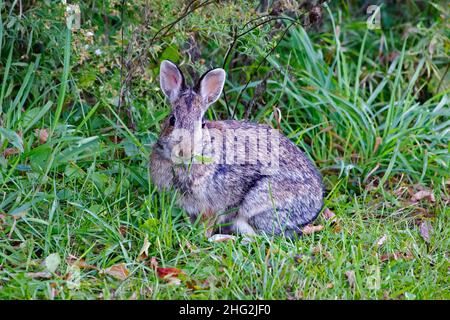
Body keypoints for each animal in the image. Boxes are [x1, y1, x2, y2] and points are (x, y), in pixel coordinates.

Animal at [151, 60, 324, 238]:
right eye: (172, 120)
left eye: (203, 123)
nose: (185, 150)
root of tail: (316, 205)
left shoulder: (212, 207)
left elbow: (207, 225)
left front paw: (201, 237)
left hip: (259, 204)